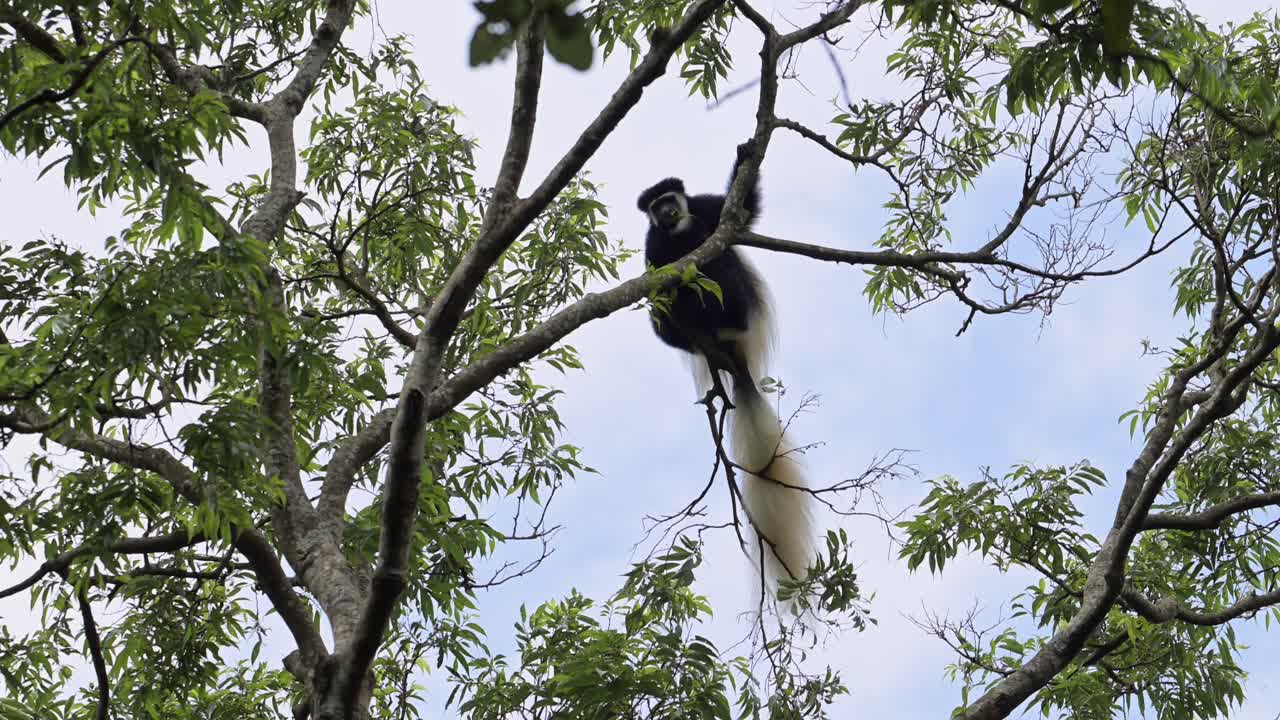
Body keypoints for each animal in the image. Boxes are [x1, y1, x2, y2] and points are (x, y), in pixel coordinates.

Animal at [638, 141, 814, 588]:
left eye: (671, 200)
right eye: (657, 207)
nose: (668, 212)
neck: (678, 230)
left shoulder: (707, 207)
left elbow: (745, 212)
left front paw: (746, 152)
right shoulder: (653, 241)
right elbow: (654, 280)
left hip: (738, 300)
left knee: (722, 266)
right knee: (662, 315)